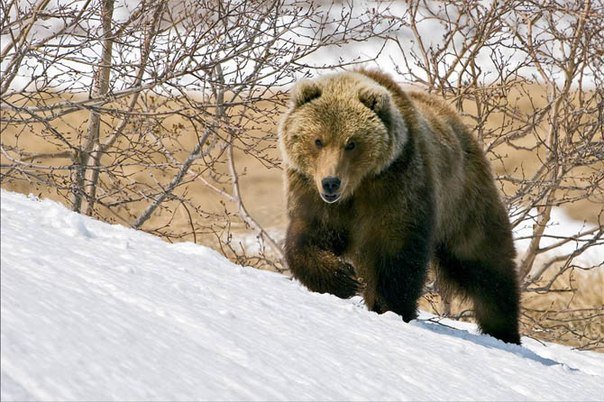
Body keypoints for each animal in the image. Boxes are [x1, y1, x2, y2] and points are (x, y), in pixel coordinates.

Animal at [278, 70, 520, 346]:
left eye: (351, 143)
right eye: (318, 140)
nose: (331, 182)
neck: (357, 188)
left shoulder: (395, 186)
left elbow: (395, 253)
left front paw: (389, 306)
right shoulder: (313, 194)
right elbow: (306, 239)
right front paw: (343, 278)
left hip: (462, 199)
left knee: (484, 261)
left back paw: (504, 331)